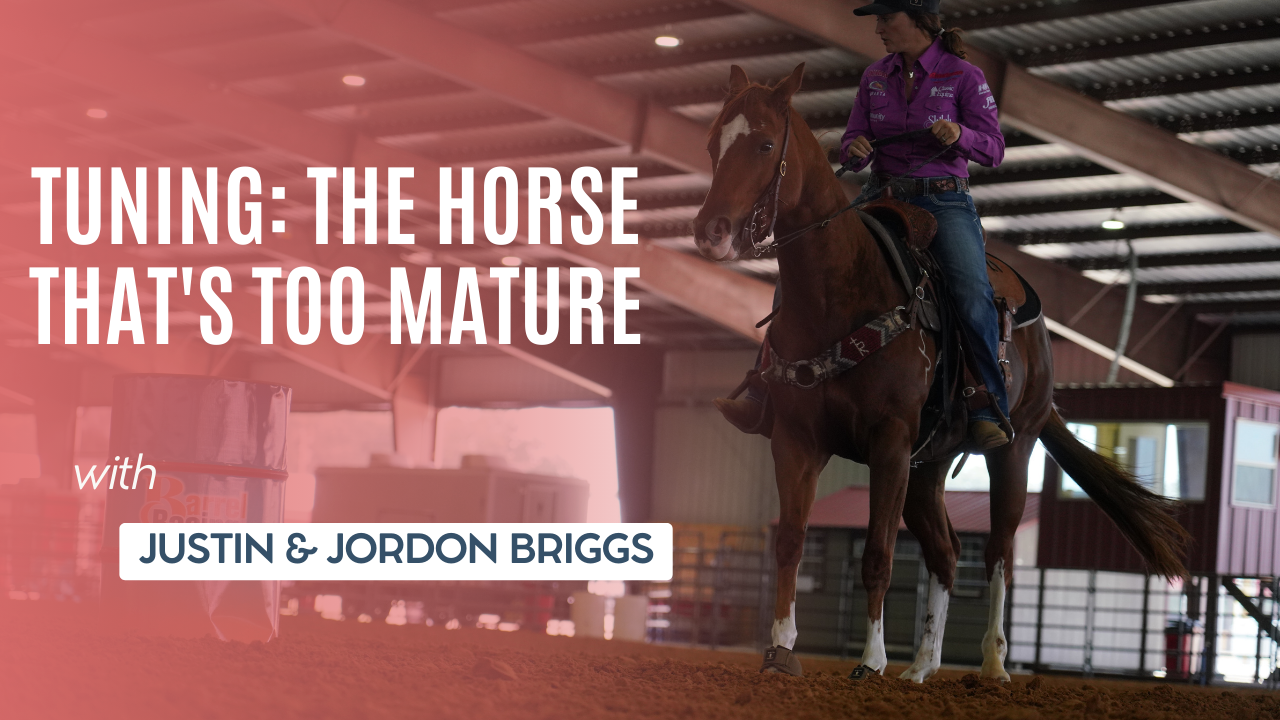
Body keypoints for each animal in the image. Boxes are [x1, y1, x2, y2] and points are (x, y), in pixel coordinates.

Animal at [693, 63, 1189, 682]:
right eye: (714, 144)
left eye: (763, 144)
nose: (709, 230)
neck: (838, 290)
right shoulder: (798, 440)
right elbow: (790, 542)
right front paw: (781, 650)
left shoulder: (889, 441)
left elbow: (878, 554)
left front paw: (871, 660)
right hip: (926, 465)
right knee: (946, 552)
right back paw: (924, 665)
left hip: (1013, 448)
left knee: (998, 551)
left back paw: (993, 665)